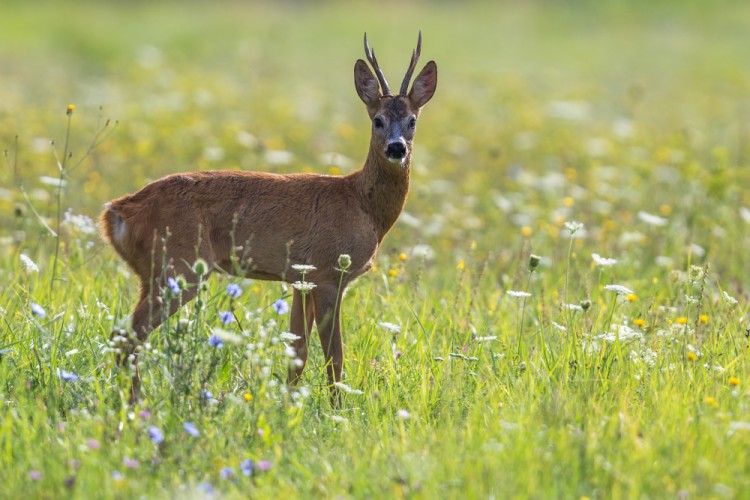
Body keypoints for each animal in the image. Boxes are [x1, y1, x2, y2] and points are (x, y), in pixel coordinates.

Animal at [101, 32, 440, 406]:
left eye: (412, 121)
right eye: (377, 120)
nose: (397, 148)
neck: (362, 204)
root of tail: (118, 211)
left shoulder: (301, 280)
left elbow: (297, 353)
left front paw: (288, 407)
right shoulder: (328, 274)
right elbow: (334, 356)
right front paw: (339, 411)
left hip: (152, 273)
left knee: (124, 336)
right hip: (180, 267)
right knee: (127, 336)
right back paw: (136, 407)